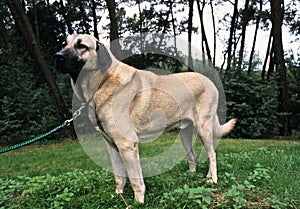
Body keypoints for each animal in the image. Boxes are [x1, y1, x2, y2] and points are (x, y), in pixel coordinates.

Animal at [55, 34, 236, 202]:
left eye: (81, 46)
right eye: (64, 44)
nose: (58, 56)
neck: (102, 83)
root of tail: (211, 82)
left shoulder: (127, 146)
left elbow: (136, 180)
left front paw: (138, 201)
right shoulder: (111, 146)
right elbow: (118, 176)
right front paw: (118, 196)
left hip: (204, 130)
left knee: (212, 155)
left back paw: (212, 180)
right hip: (185, 134)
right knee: (192, 156)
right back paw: (192, 177)